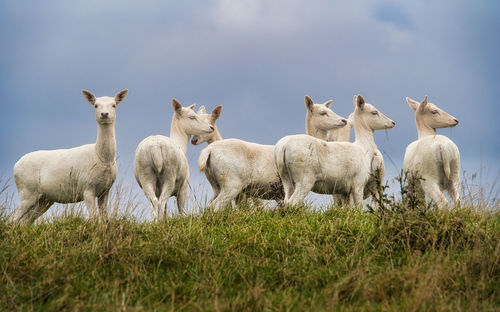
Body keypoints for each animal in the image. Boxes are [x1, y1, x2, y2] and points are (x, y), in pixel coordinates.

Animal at [8, 89, 128, 223]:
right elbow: (93, 218)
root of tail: (15, 166)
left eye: (114, 105)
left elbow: (104, 218)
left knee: (25, 221)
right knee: (13, 218)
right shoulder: (87, 187)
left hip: (44, 199)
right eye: (96, 105)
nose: (104, 114)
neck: (101, 157)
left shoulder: (105, 190)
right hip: (27, 190)